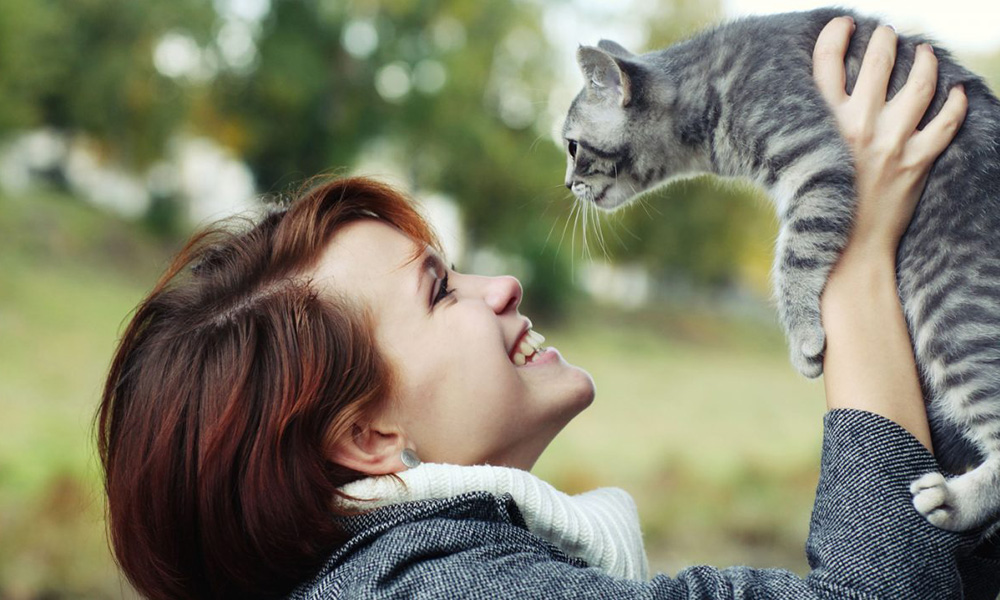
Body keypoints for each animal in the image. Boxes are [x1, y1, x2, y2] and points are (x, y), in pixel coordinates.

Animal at [564, 8, 1000, 536]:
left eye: (571, 147)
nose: (566, 184)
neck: (707, 94)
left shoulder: (816, 160)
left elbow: (794, 255)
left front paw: (803, 337)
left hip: (949, 305)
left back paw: (955, 501)